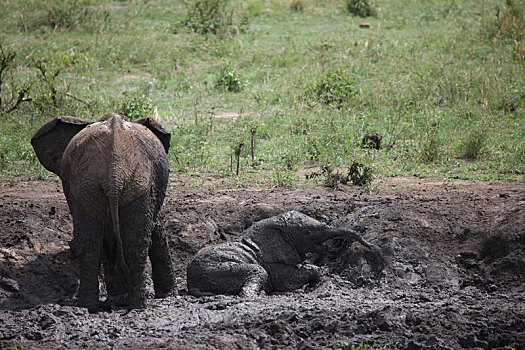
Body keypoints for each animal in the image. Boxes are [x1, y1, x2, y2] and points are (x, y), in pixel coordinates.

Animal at [32, 113, 176, 308]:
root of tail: (114, 173)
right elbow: (156, 229)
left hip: (100, 185)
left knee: (92, 243)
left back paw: (92, 304)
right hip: (124, 183)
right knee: (130, 242)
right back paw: (135, 303)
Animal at [186, 209, 370, 296]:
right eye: (309, 233)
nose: (368, 245)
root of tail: (191, 283)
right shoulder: (271, 262)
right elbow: (288, 279)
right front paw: (320, 273)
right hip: (215, 270)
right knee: (258, 271)